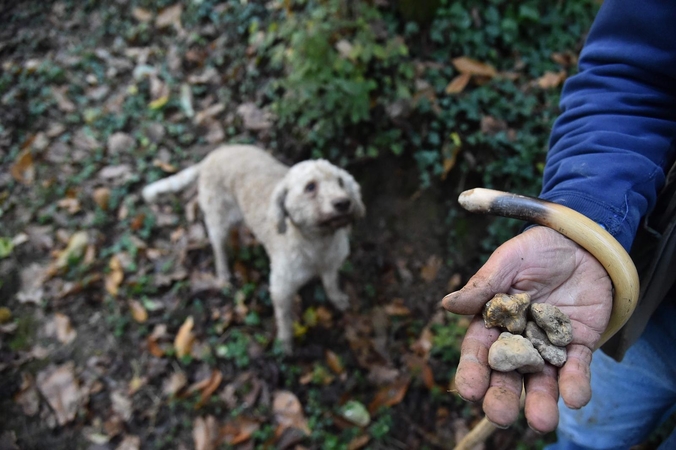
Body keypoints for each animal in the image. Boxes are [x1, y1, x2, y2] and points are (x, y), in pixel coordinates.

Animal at [143, 146, 364, 354]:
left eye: (340, 182)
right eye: (310, 187)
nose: (344, 203)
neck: (318, 243)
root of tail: (213, 154)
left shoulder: (331, 266)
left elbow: (332, 285)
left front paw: (338, 300)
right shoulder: (281, 288)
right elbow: (284, 319)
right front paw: (285, 342)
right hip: (217, 220)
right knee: (218, 247)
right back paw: (223, 272)